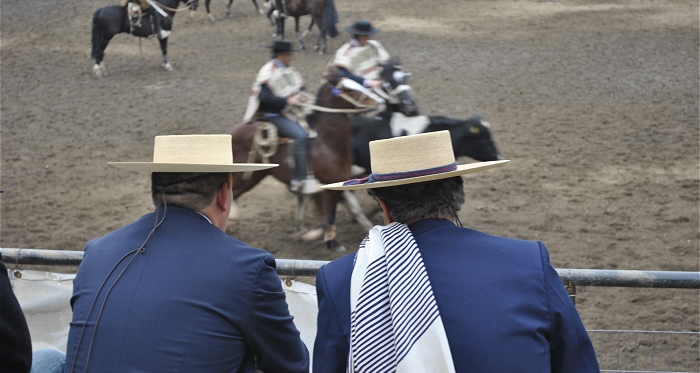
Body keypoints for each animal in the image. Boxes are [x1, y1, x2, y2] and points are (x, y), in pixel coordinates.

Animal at [228, 68, 382, 251]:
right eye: (347, 89)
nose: (377, 102)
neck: (325, 142)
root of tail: (231, 133)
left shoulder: (335, 183)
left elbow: (335, 212)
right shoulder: (323, 186)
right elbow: (326, 215)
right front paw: (324, 239)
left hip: (254, 176)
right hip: (244, 175)